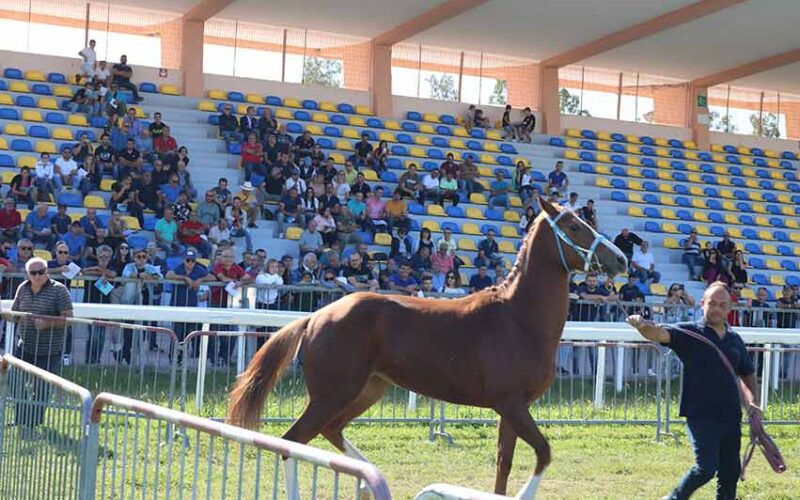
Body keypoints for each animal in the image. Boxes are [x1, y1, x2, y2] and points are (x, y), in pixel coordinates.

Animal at [228, 197, 628, 498]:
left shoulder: (512, 409)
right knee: (292, 442)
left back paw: (370, 475)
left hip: (369, 389)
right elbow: (543, 453)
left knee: (330, 431)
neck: (518, 318)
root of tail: (316, 316)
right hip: (333, 393)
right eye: (574, 226)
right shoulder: (511, 404)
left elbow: (504, 463)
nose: (621, 260)